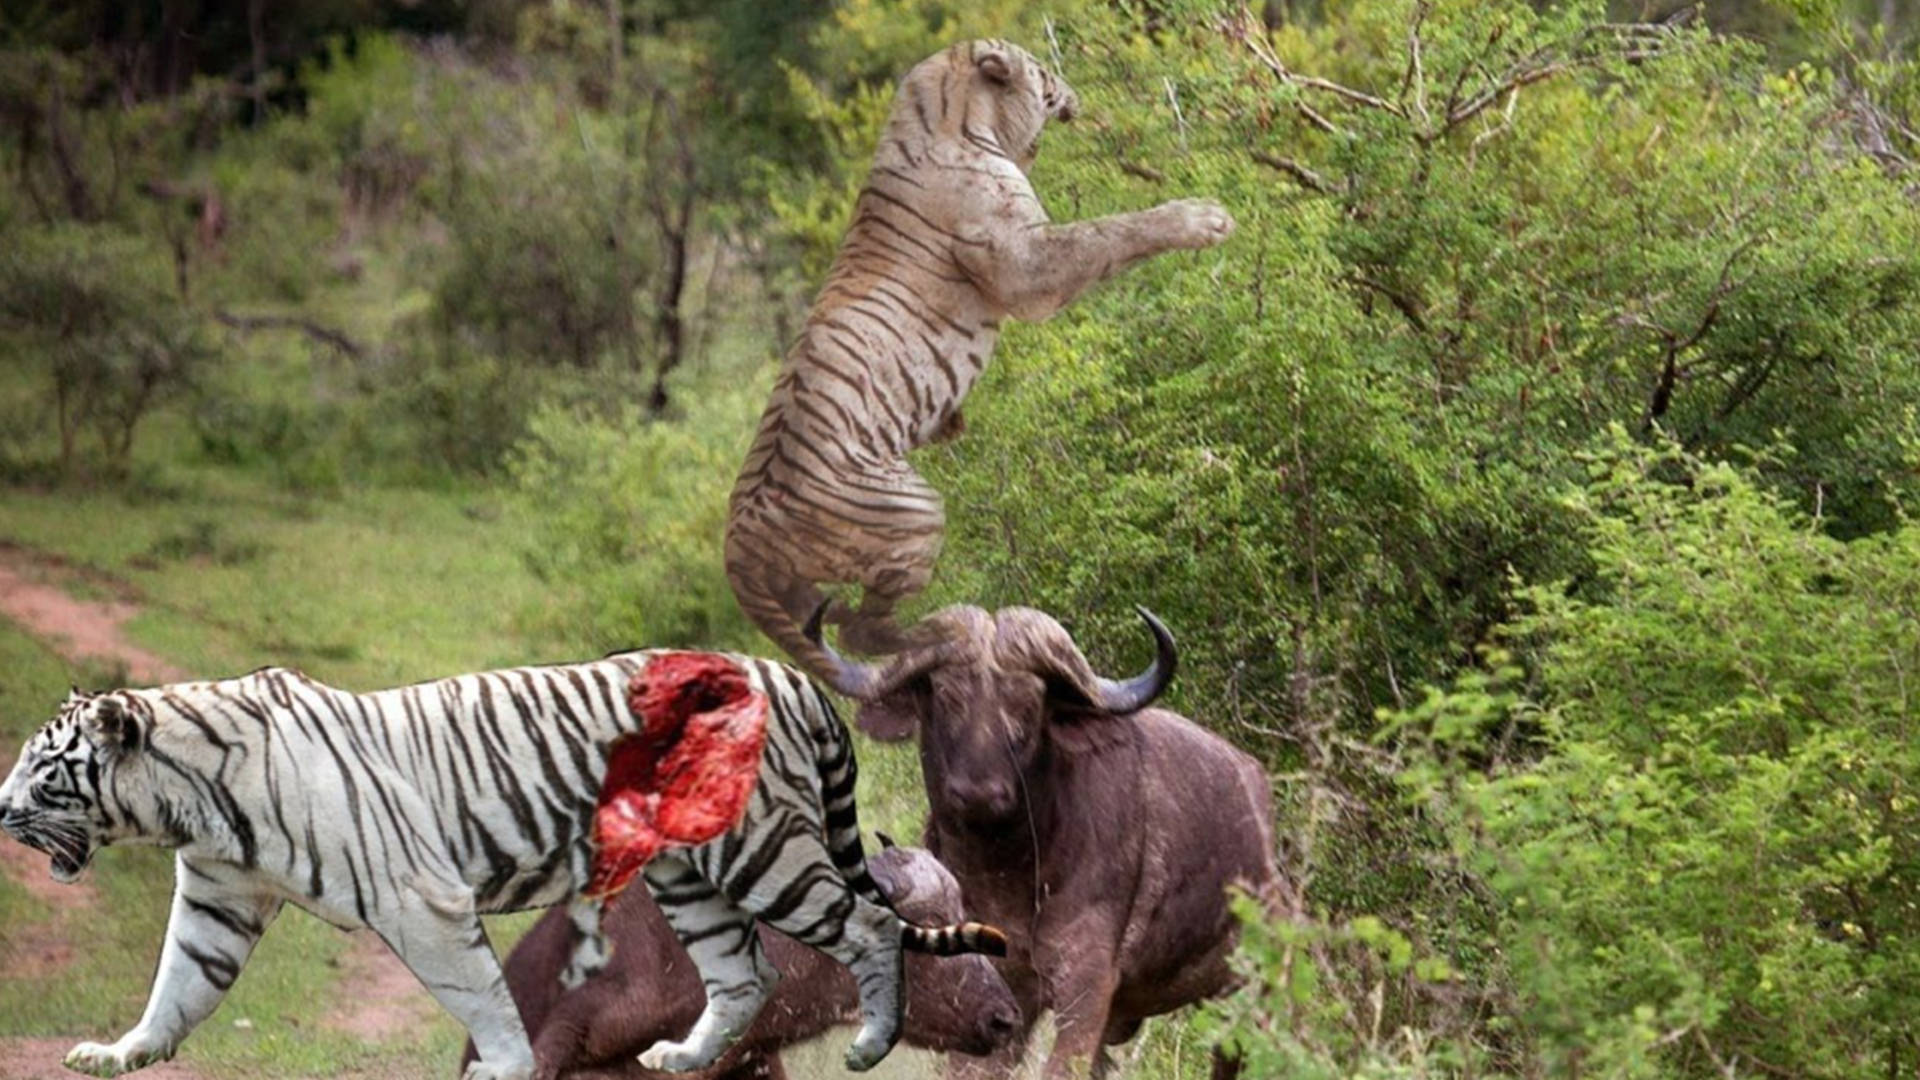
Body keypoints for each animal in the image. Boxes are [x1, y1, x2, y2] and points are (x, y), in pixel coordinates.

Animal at [0, 645, 1013, 1076]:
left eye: (46, 771)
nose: (2, 810)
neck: (194, 803)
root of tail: (791, 676)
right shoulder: (217, 899)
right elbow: (177, 988)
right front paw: (117, 1055)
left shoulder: (424, 903)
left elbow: (484, 1001)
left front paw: (505, 1069)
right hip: (689, 877)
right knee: (746, 973)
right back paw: (682, 1057)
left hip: (762, 852)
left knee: (870, 923)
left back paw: (872, 1042)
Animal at [725, 37, 1236, 676]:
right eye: (1043, 71)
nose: (1071, 89)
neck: (944, 115)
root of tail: (737, 544)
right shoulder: (1027, 263)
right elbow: (1111, 232)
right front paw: (1206, 216)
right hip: (913, 511)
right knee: (865, 631)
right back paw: (947, 632)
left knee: (834, 624)